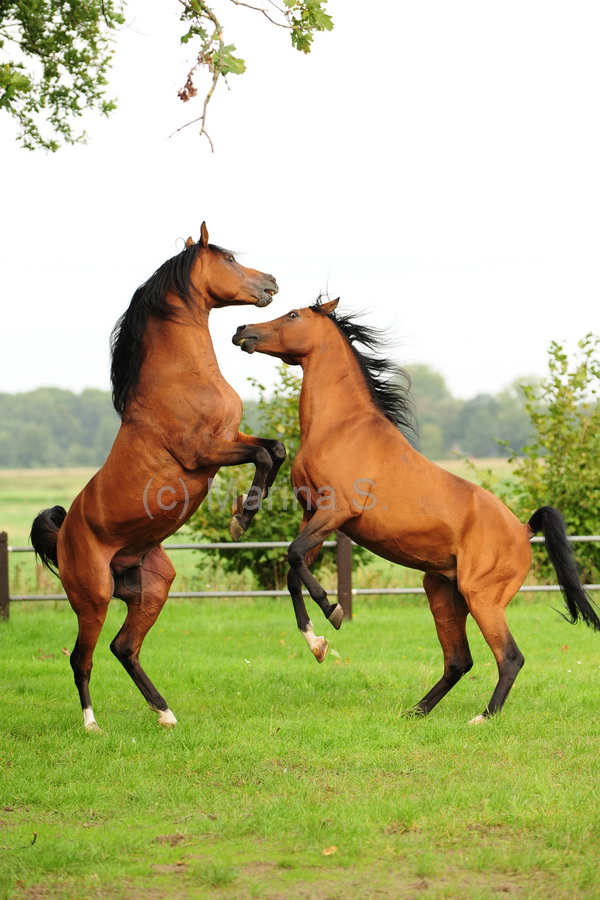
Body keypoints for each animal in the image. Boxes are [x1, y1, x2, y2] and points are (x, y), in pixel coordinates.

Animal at [31, 223, 286, 732]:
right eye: (229, 258)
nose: (270, 282)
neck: (181, 377)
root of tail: (63, 536)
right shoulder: (207, 451)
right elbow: (263, 457)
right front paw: (240, 520)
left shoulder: (231, 437)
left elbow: (276, 450)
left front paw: (245, 513)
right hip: (92, 599)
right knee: (82, 658)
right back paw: (92, 724)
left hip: (153, 589)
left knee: (124, 647)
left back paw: (165, 713)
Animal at [233, 302, 600, 724]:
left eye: (293, 315)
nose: (241, 330)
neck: (342, 428)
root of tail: (524, 529)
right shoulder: (312, 514)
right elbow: (294, 570)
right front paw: (317, 643)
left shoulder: (336, 511)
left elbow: (294, 556)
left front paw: (334, 611)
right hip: (442, 594)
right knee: (459, 660)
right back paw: (417, 711)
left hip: (483, 599)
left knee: (509, 657)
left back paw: (482, 717)